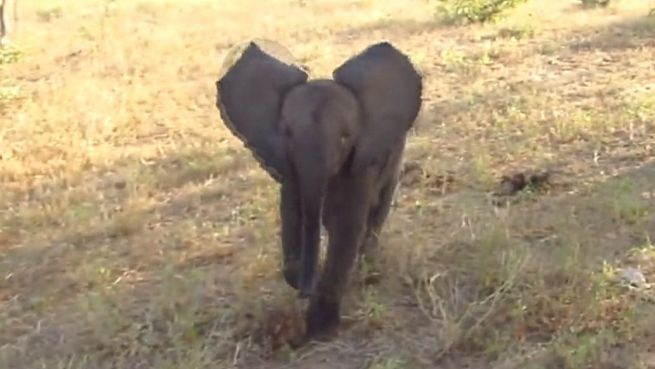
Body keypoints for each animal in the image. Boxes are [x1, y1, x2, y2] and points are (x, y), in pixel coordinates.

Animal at [215, 39, 426, 336]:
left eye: (345, 137)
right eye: (288, 133)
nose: (305, 290)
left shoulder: (361, 161)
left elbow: (346, 223)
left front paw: (320, 329)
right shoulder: (287, 163)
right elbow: (292, 214)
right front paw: (297, 276)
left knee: (377, 212)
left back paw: (368, 273)